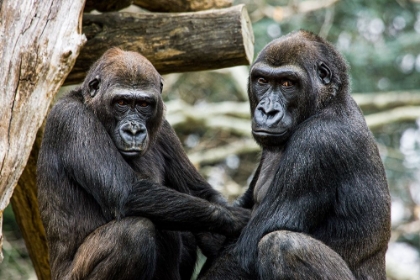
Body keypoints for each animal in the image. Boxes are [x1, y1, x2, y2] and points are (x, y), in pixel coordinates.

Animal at [37, 48, 249, 280]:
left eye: (143, 104)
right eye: (121, 103)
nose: (134, 130)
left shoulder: (164, 127)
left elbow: (199, 192)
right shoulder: (73, 120)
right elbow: (127, 192)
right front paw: (237, 218)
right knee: (134, 233)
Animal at [199, 29, 392, 278]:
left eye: (287, 83)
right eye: (262, 81)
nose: (267, 111)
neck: (327, 102)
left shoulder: (317, 143)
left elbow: (247, 250)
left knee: (283, 245)